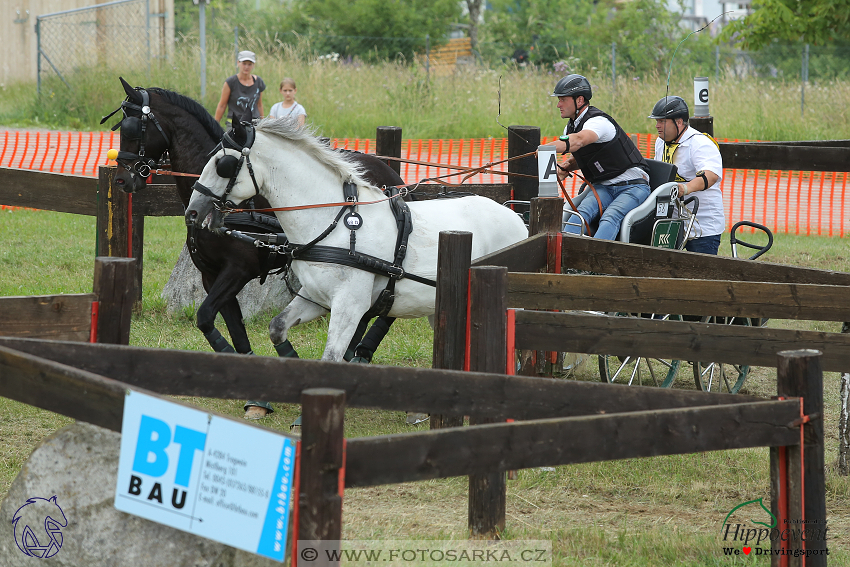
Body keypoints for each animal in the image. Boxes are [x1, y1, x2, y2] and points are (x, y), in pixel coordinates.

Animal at [108, 77, 404, 414]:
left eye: (132, 128)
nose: (121, 180)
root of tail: (390, 172)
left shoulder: (238, 271)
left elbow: (205, 315)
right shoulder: (211, 275)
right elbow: (226, 325)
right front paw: (253, 389)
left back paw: (360, 353)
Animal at [189, 118, 528, 364]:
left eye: (223, 165)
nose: (193, 211)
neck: (334, 222)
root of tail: (516, 219)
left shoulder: (349, 304)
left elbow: (331, 356)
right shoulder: (315, 297)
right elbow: (277, 328)